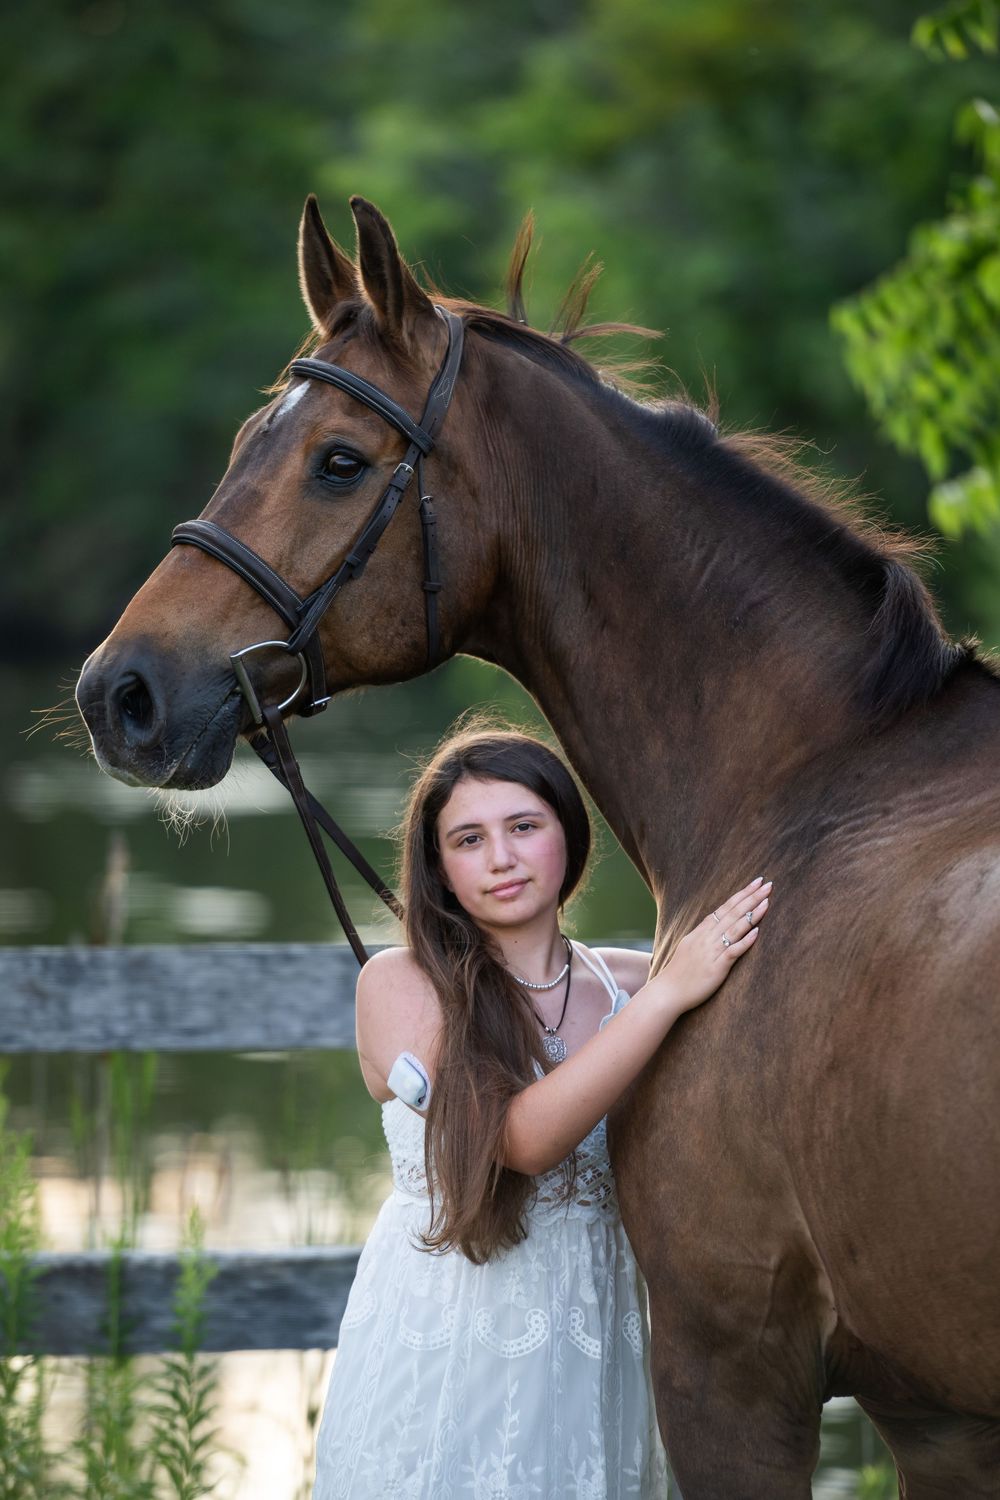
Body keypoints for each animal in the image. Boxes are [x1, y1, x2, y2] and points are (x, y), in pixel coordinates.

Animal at [76, 195, 1000, 1497]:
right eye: (253, 437)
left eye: (338, 461)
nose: (122, 693)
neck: (819, 780)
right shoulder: (938, 1415)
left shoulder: (731, 1364)